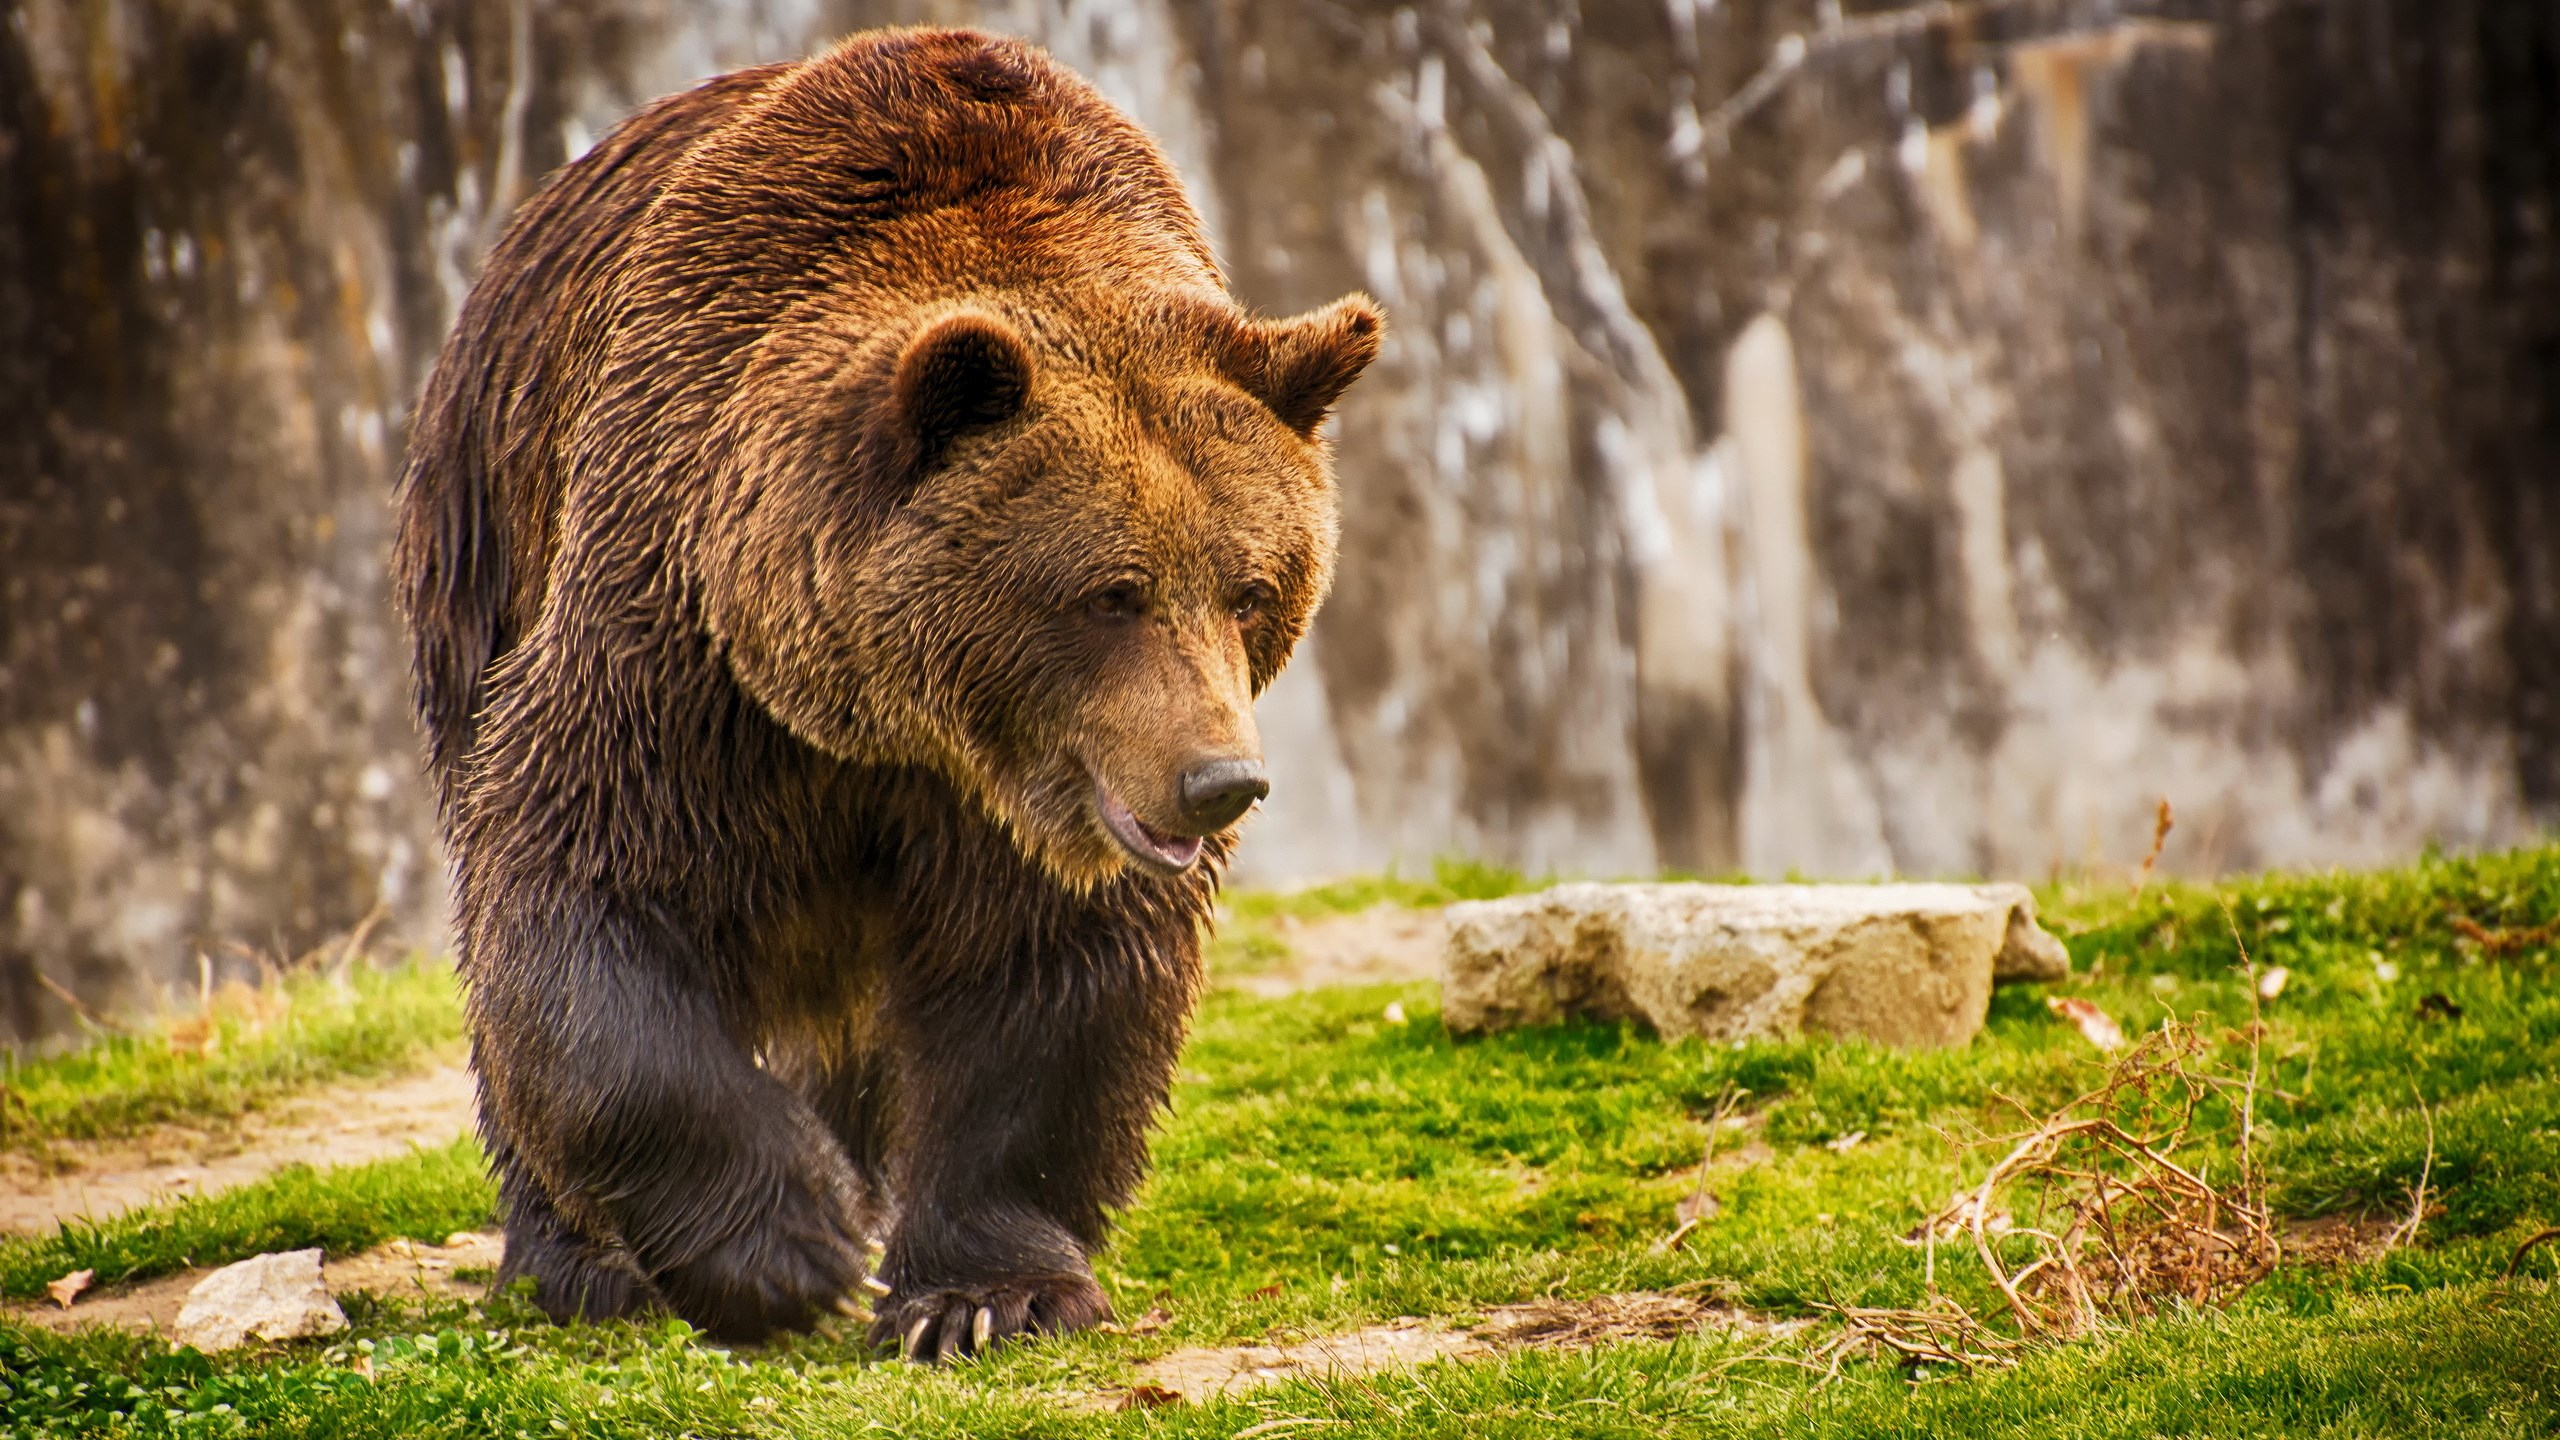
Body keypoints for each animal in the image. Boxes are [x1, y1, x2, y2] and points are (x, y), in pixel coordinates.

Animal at [391, 27, 1380, 1353]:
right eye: (1112, 591)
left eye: (1251, 587)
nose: (1219, 782)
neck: (882, 720)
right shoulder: (676, 646)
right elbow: (581, 897)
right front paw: (784, 1247)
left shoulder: (1029, 802)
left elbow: (1048, 981)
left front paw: (981, 1296)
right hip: (485, 528)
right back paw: (580, 1263)